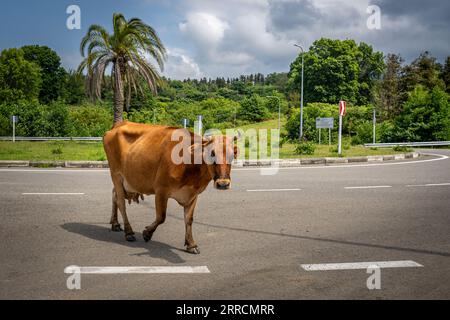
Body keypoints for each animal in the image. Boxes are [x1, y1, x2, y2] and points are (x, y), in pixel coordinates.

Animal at [103, 121, 239, 254]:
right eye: (212, 153)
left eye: (232, 155)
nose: (223, 184)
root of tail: (119, 124)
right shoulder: (161, 190)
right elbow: (161, 217)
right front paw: (147, 233)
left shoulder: (193, 194)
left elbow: (189, 219)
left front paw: (191, 244)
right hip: (116, 175)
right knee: (121, 203)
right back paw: (129, 232)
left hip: (126, 182)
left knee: (114, 195)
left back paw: (115, 224)